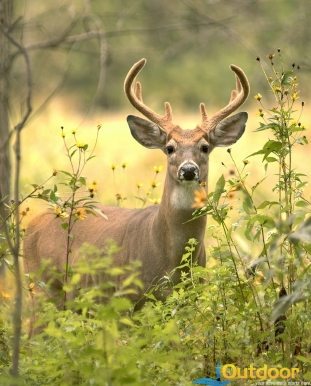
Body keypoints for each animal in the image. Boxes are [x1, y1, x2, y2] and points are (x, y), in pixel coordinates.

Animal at [23, 59, 250, 302]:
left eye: (205, 147)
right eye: (170, 148)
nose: (188, 169)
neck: (169, 260)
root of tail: (33, 223)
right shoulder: (131, 294)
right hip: (41, 287)